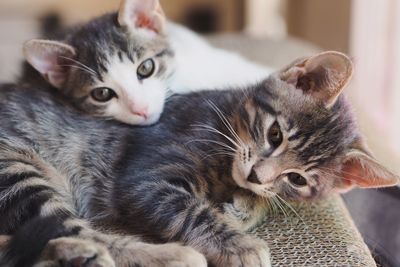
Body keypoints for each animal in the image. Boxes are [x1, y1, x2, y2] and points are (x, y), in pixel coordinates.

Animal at [1, 51, 398, 266]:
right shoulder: (143, 178)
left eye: (298, 179)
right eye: (274, 135)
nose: (256, 175)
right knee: (78, 232)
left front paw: (246, 206)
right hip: (17, 168)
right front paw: (239, 243)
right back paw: (169, 256)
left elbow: (260, 200)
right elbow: (189, 211)